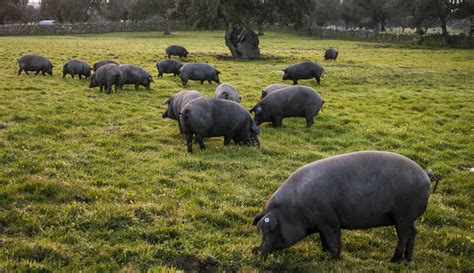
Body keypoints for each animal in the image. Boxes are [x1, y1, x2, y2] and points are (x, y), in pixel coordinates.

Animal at [254, 151, 432, 262]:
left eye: (270, 230)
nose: (258, 252)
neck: (294, 210)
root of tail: (425, 175)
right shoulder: (321, 224)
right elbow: (324, 239)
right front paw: (323, 252)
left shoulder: (330, 222)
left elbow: (333, 240)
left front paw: (334, 259)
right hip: (408, 217)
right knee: (413, 233)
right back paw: (407, 260)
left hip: (402, 215)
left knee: (403, 235)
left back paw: (392, 260)